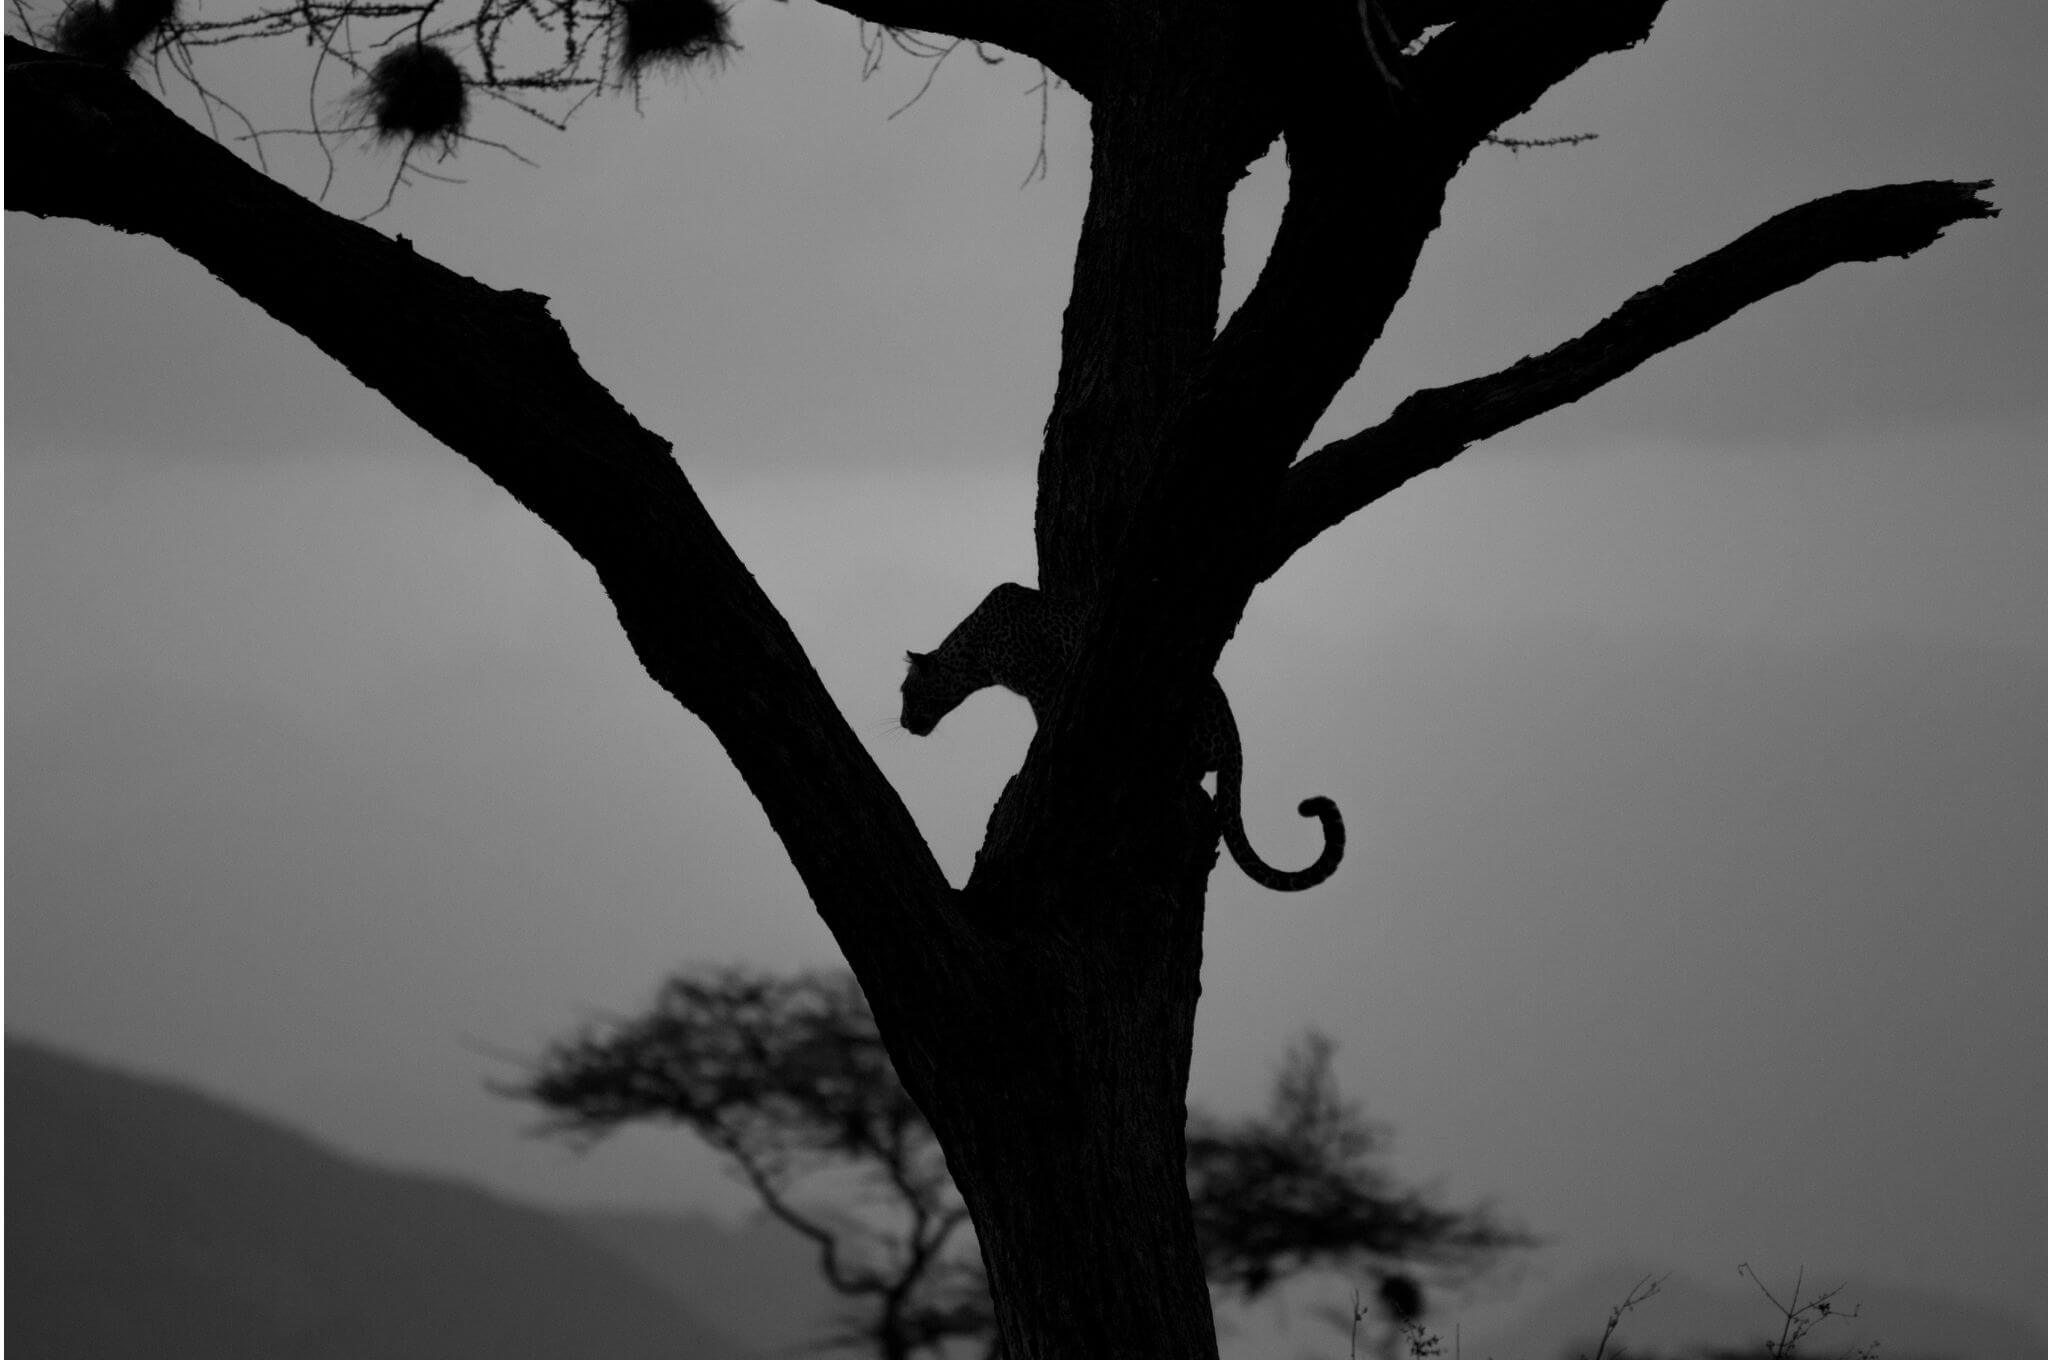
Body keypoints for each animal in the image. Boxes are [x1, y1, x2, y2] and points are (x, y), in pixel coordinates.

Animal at [901, 581, 1343, 893]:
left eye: (906, 692)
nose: (904, 723)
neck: (974, 653)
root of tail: (1235, 740)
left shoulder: (1043, 682)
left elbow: (1045, 722)